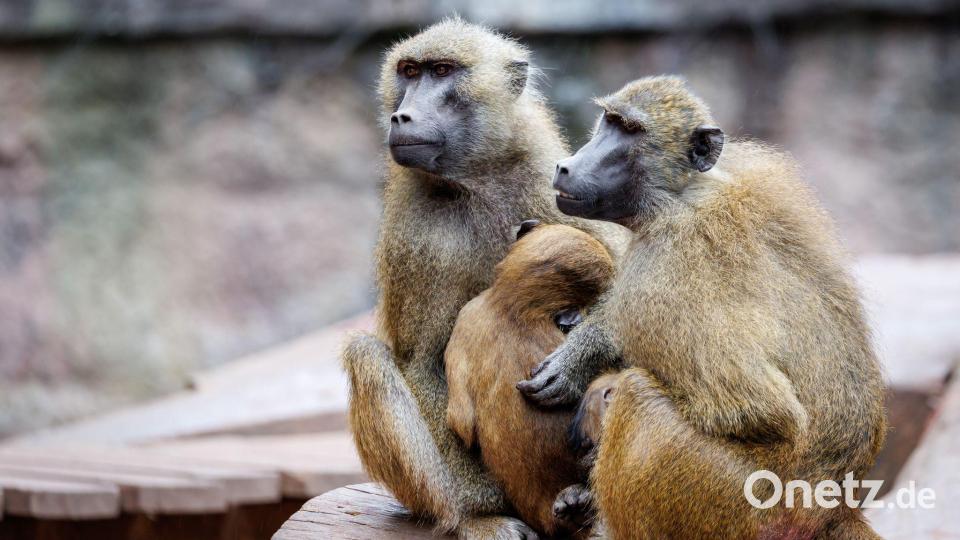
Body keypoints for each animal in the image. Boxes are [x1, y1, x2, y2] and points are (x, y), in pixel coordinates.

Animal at [518, 76, 886, 538]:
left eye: (630, 130)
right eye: (609, 121)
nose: (566, 166)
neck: (681, 195)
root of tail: (834, 508)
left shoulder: (662, 273)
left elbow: (759, 410)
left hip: (739, 501)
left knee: (637, 397)